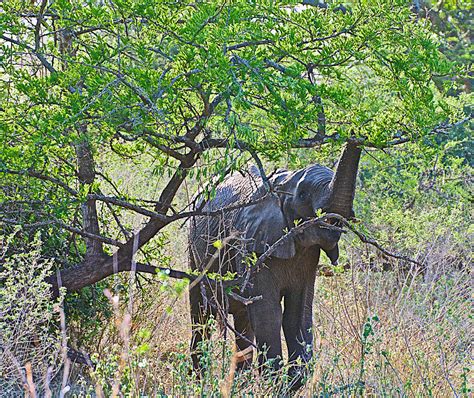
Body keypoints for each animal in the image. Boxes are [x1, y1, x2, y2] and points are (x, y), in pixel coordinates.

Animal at [187, 141, 362, 388]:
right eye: (303, 194)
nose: (357, 136)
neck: (282, 182)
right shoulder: (252, 242)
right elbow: (269, 314)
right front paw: (274, 383)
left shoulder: (309, 255)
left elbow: (298, 313)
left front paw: (290, 381)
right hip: (193, 252)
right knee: (201, 314)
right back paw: (199, 382)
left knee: (243, 321)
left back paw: (241, 385)